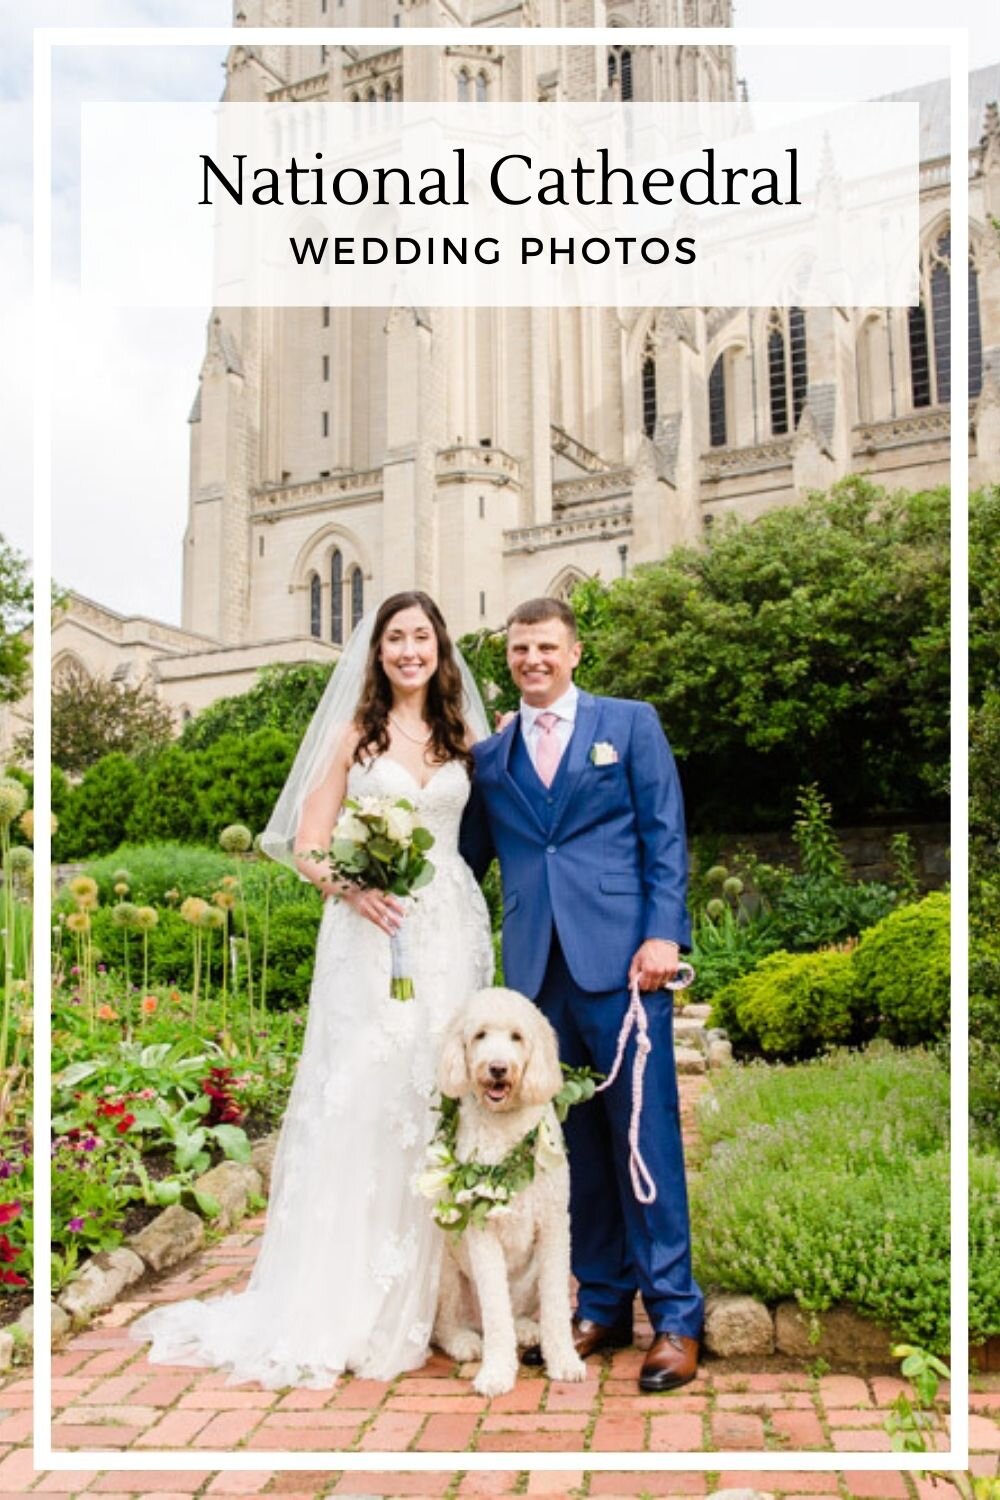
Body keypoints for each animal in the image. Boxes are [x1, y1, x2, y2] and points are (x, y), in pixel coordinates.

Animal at [431, 984, 587, 1392]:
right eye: (480, 1035)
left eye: (517, 1037)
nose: (498, 1069)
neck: (506, 1127)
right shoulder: (482, 1232)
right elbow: (495, 1310)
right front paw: (497, 1373)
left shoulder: (554, 1226)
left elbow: (556, 1307)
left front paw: (564, 1360)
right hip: (446, 1271)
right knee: (449, 1324)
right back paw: (464, 1341)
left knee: (519, 1312)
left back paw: (528, 1330)